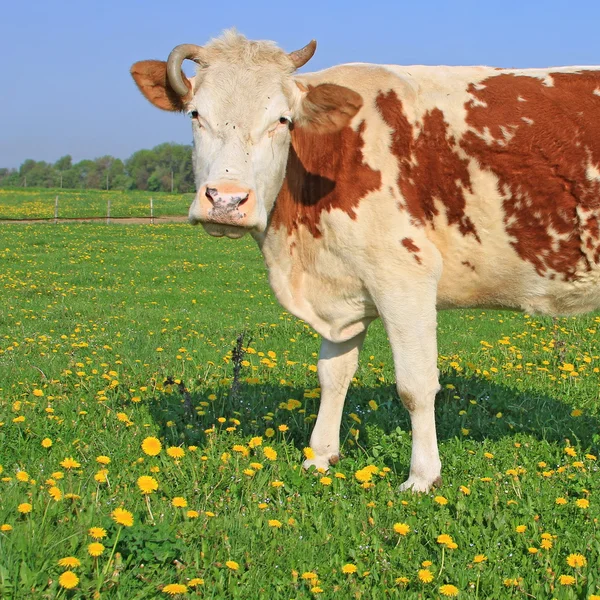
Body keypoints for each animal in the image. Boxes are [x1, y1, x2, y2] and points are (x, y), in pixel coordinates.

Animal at [131, 29, 600, 492]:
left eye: (282, 120)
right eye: (195, 114)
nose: (226, 201)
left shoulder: (405, 276)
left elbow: (415, 385)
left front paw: (421, 477)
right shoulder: (342, 283)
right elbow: (332, 374)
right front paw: (320, 456)